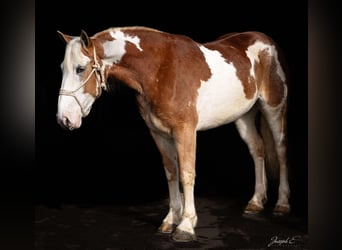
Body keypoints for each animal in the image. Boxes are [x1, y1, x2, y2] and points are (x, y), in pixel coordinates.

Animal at [56, 25, 292, 242]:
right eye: (62, 68)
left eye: (80, 69)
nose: (64, 119)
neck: (161, 69)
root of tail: (267, 41)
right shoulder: (159, 133)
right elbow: (171, 173)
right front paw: (171, 220)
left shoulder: (185, 131)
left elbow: (187, 174)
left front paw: (186, 225)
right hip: (244, 116)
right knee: (258, 149)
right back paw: (256, 201)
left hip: (274, 108)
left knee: (281, 150)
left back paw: (282, 203)